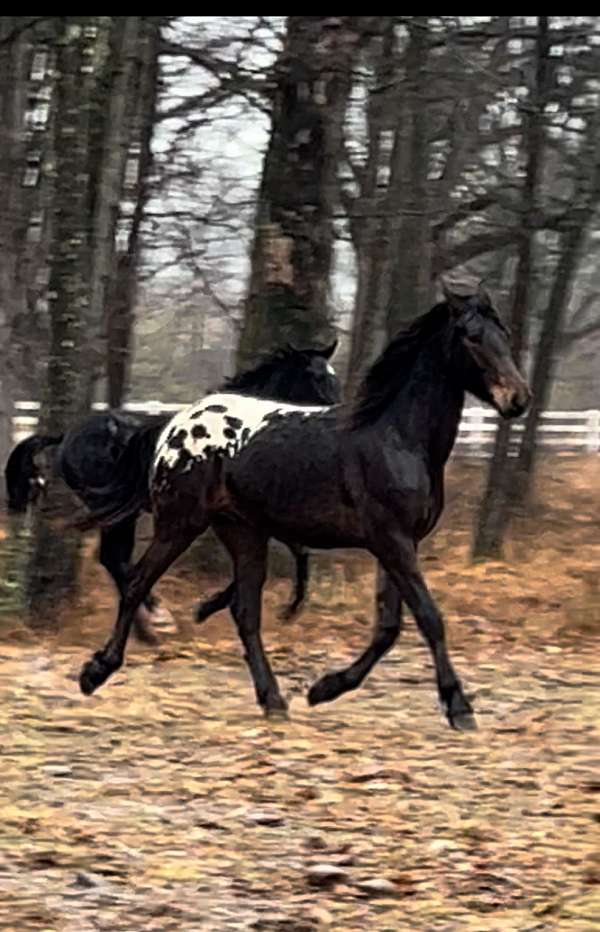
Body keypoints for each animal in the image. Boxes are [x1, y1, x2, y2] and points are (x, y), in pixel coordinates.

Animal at [4, 342, 340, 640]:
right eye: (317, 376)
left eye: (332, 375)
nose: (337, 411)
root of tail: (66, 436)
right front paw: (209, 608)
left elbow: (296, 551)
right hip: (114, 511)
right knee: (114, 560)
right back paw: (156, 618)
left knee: (115, 560)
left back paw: (148, 626)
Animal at [78, 288, 528, 732]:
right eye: (472, 336)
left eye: (504, 333)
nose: (518, 399)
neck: (396, 438)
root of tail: (175, 425)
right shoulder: (392, 541)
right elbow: (428, 618)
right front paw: (459, 708)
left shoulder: (400, 544)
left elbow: (388, 627)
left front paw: (324, 689)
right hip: (180, 524)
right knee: (137, 582)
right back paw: (96, 671)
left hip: (243, 531)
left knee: (245, 612)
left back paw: (274, 700)